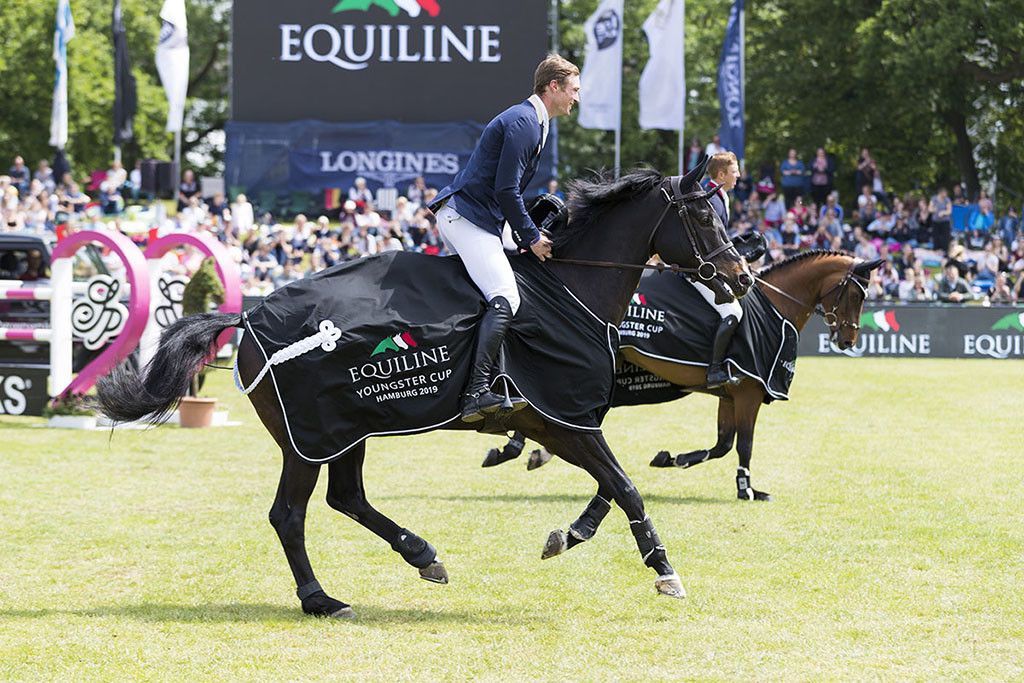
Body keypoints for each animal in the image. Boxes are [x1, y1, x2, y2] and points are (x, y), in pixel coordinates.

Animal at [94, 161, 753, 618]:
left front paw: (569, 536)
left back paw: (422, 556)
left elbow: (612, 487)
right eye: (702, 216)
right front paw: (664, 571)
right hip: (309, 436)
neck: (571, 290)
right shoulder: (562, 418)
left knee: (346, 499)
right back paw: (321, 598)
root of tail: (250, 317)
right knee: (290, 514)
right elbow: (625, 486)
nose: (741, 277)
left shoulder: (564, 421)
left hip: (345, 431)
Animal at [483, 253, 884, 520]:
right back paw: (518, 448)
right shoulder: (749, 392)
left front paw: (672, 459)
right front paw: (747, 490)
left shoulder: (730, 395)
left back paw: (525, 450)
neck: (775, 308)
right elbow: (744, 446)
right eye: (857, 295)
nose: (848, 340)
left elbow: (723, 445)